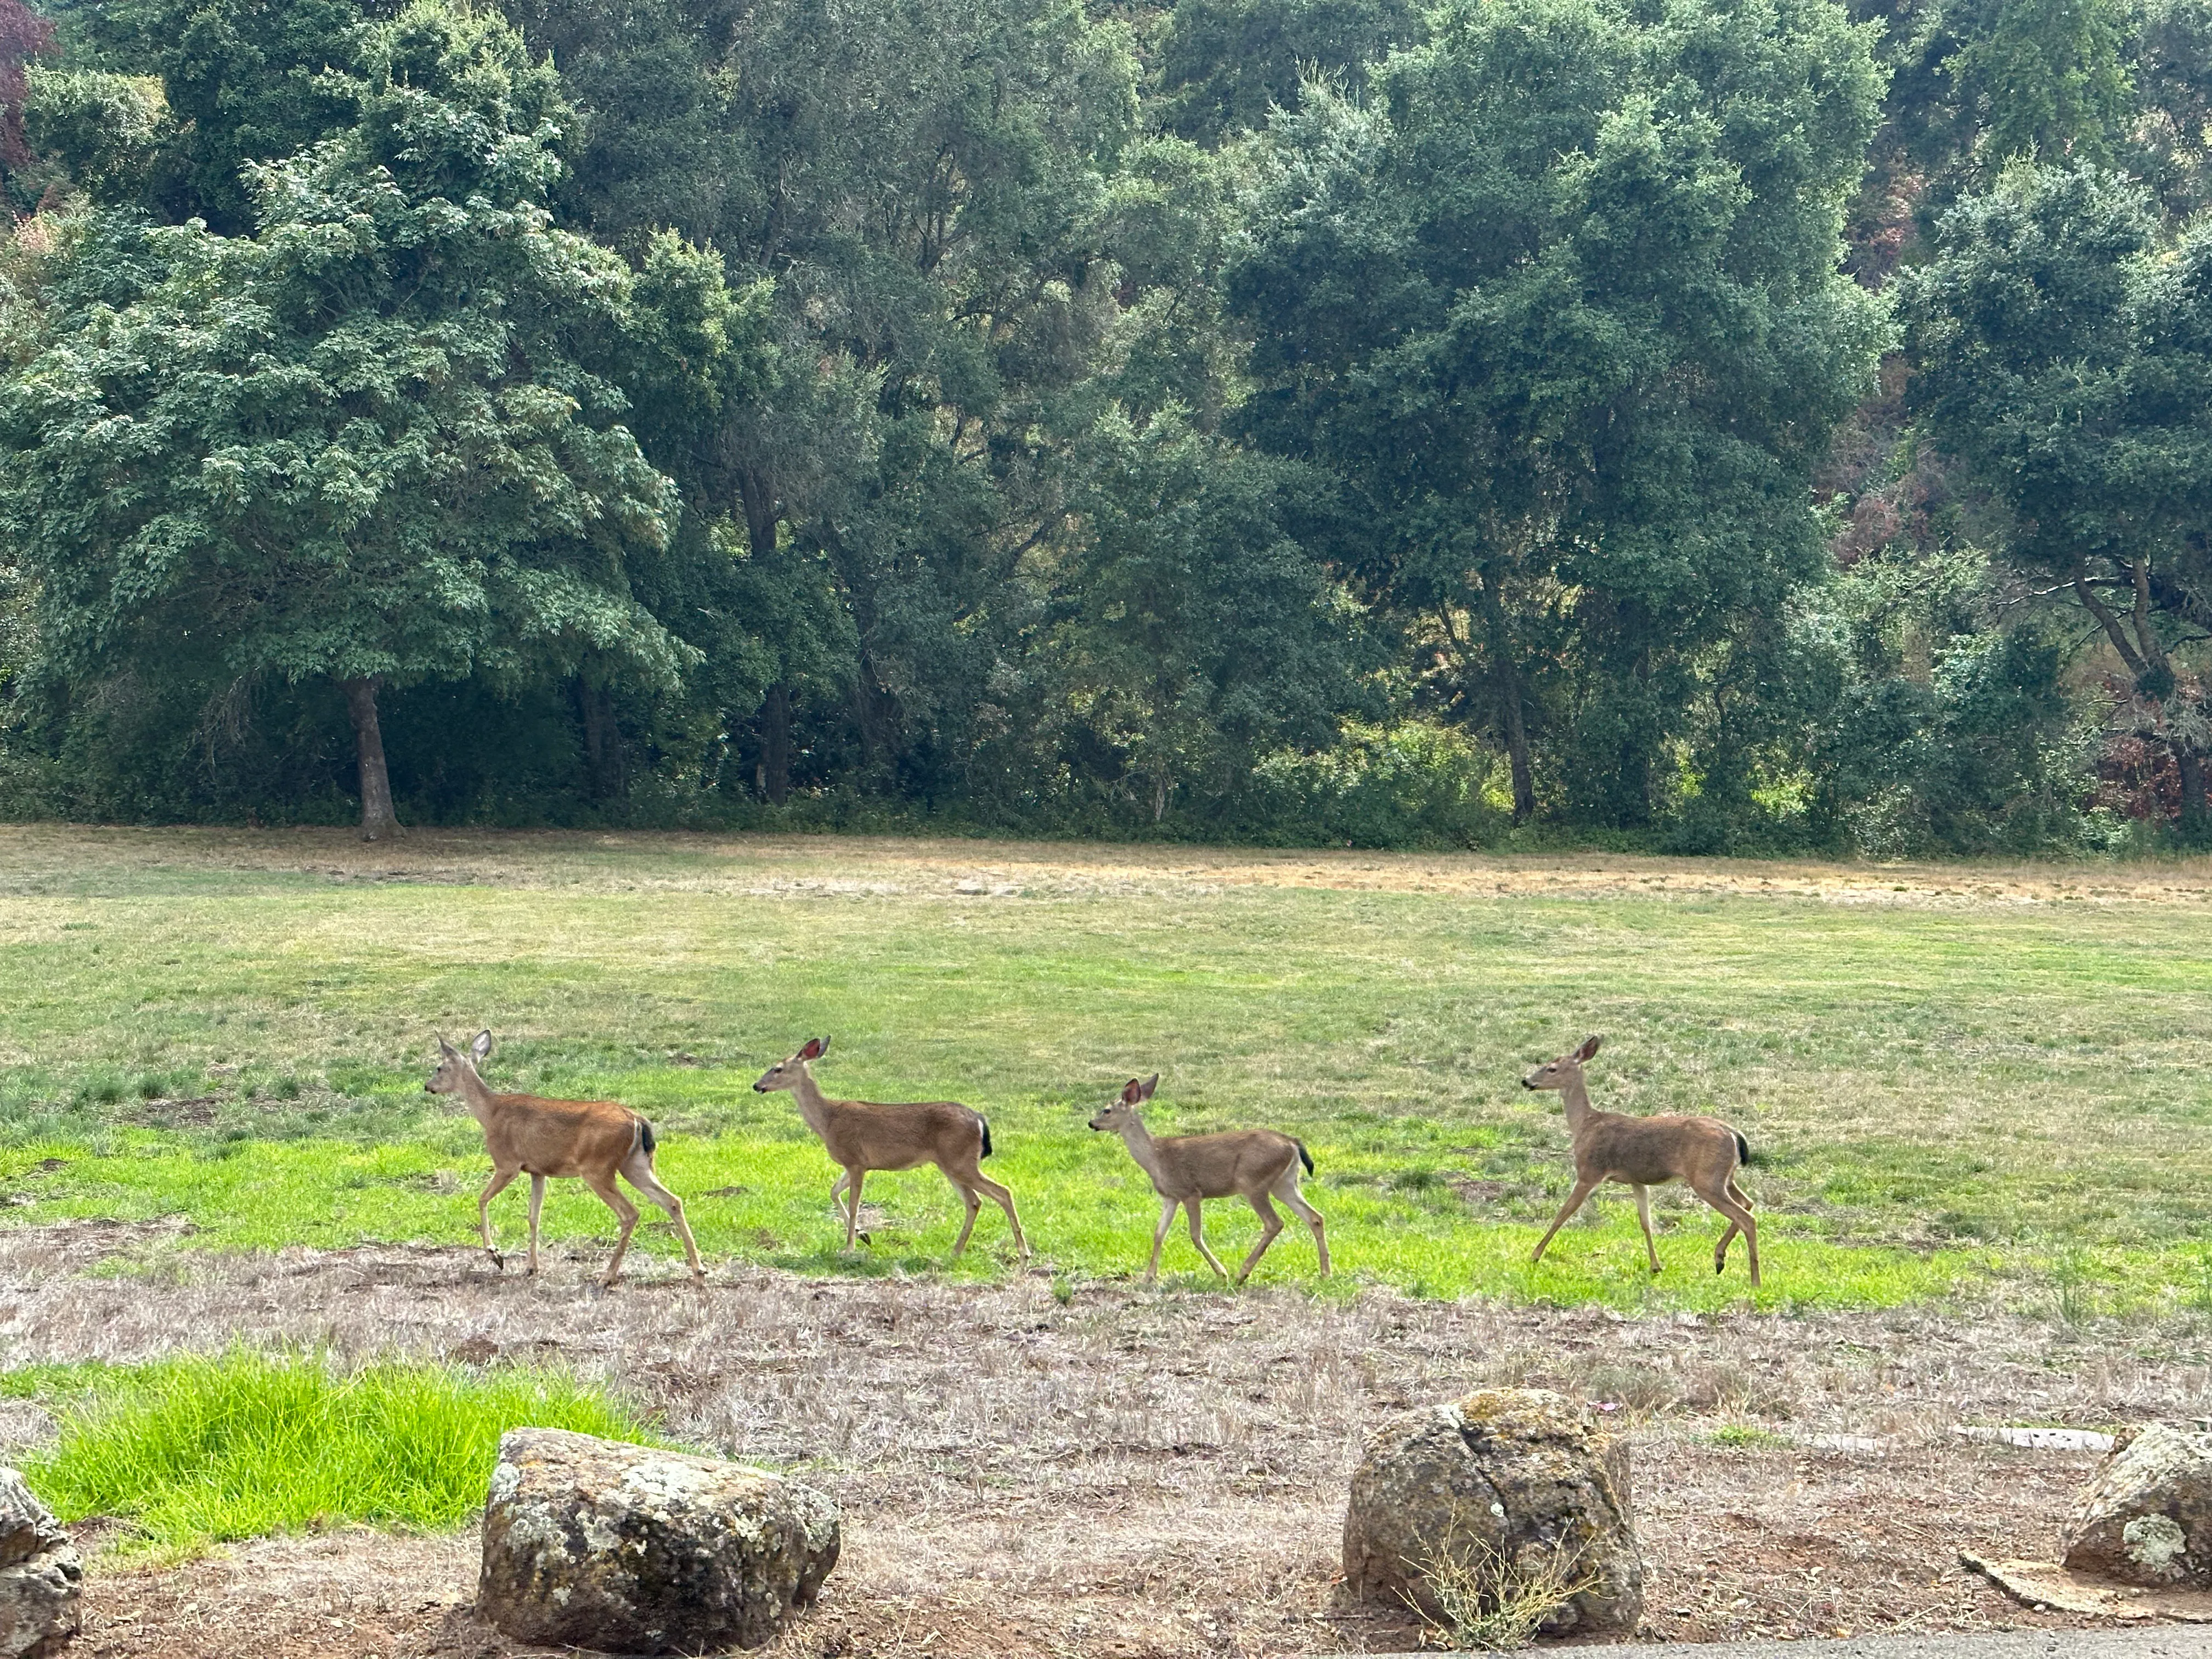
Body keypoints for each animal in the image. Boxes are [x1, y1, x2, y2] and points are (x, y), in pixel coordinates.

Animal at [427, 1035, 703, 1291]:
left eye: (439, 1068)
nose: (427, 1086)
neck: (491, 1113)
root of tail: (637, 1120)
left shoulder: (507, 1163)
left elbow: (482, 1199)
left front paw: (496, 1255)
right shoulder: (537, 1171)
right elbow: (534, 1216)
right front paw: (531, 1267)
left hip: (598, 1168)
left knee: (630, 1212)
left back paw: (607, 1277)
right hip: (635, 1164)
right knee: (672, 1201)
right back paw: (699, 1272)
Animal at [752, 1040, 1026, 1256]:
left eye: (777, 1068)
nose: (756, 1085)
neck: (828, 1120)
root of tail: (980, 1120)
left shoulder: (855, 1161)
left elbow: (854, 1204)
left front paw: (848, 1249)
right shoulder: (856, 1163)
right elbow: (833, 1192)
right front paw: (864, 1236)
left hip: (960, 1160)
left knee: (1002, 1192)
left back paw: (1024, 1255)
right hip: (950, 1164)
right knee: (975, 1202)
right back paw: (955, 1252)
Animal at [1088, 1070, 1327, 1291]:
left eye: (1106, 1110)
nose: (1091, 1123)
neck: (1155, 1157)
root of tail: (1293, 1142)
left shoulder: (1191, 1192)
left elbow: (1195, 1235)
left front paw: (1221, 1273)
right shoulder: (1171, 1197)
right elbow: (1159, 1233)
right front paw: (1148, 1277)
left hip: (1253, 1181)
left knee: (1274, 1223)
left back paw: (1241, 1274)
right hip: (1284, 1183)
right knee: (1315, 1217)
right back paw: (1325, 1273)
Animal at [1522, 1035, 1760, 1291]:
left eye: (1552, 1068)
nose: (1526, 1081)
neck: (1585, 1124)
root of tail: (1734, 1134)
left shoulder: (1589, 1171)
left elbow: (1563, 1213)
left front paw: (1535, 1255)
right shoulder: (1637, 1181)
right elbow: (1645, 1222)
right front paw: (1656, 1267)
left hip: (1707, 1179)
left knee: (1747, 1218)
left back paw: (1754, 1280)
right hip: (1724, 1177)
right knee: (1747, 1202)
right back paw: (1719, 1258)